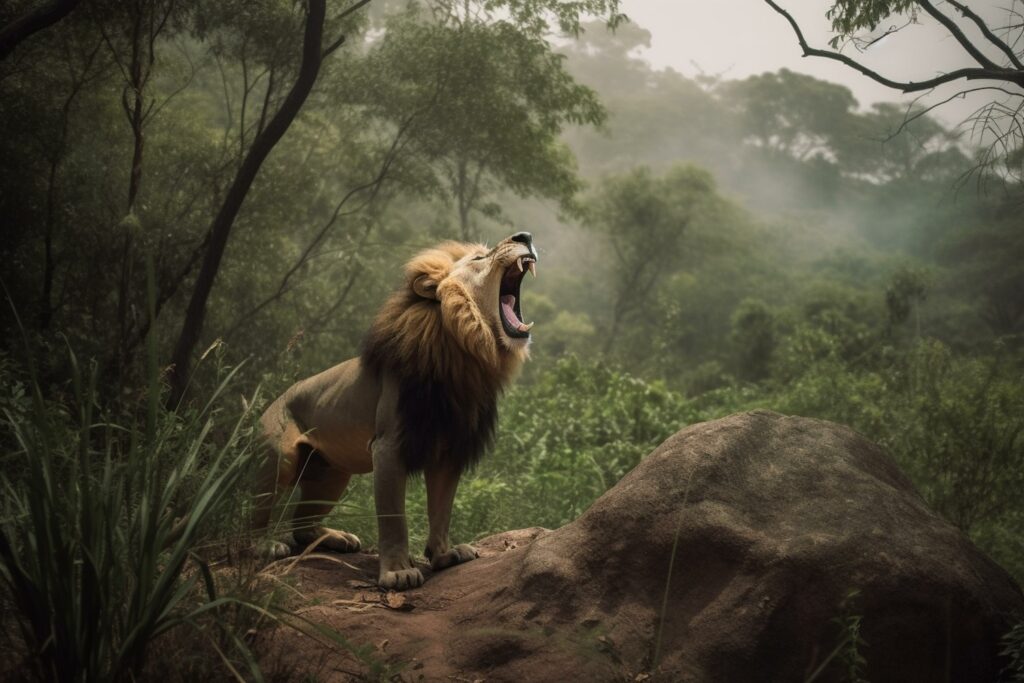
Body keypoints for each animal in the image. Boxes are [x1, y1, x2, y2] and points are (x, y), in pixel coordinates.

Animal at [253, 232, 536, 589]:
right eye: (478, 258)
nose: (525, 236)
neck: (463, 353)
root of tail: (269, 403)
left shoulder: (449, 449)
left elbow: (441, 509)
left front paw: (444, 555)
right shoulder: (388, 447)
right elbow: (393, 518)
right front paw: (398, 571)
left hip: (332, 473)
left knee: (301, 523)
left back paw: (335, 537)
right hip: (281, 459)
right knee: (252, 515)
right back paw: (264, 545)